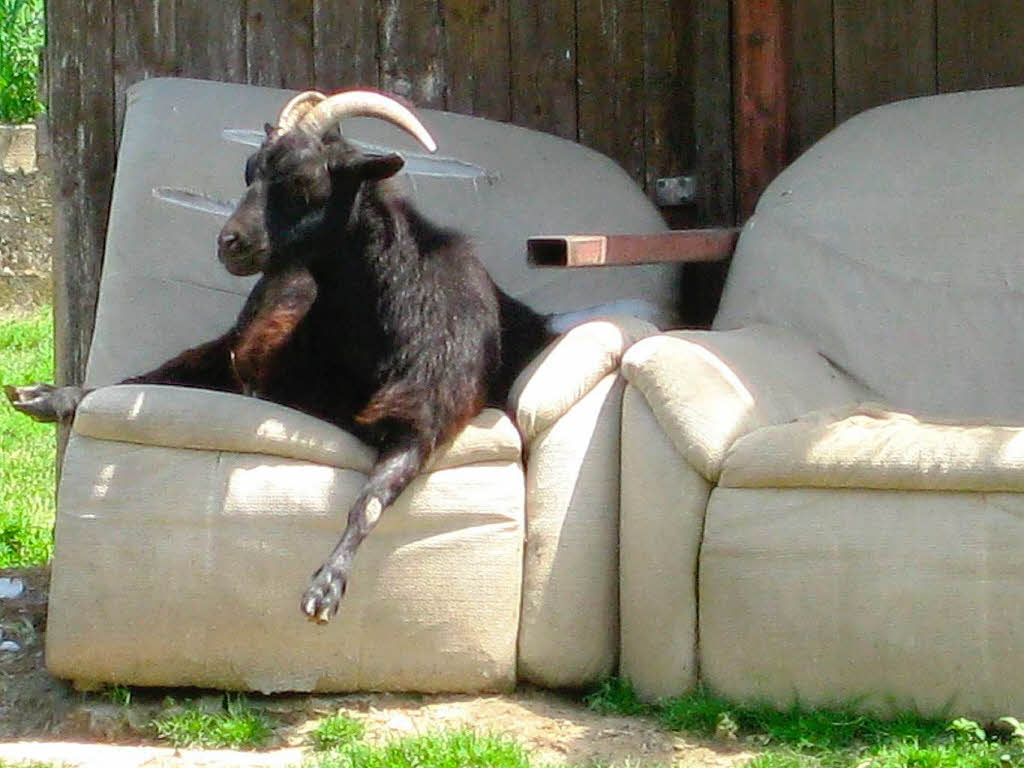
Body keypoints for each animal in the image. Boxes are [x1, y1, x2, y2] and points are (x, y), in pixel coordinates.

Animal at [6, 91, 552, 626]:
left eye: (303, 179)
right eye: (250, 170)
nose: (229, 243)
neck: (392, 309)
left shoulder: (422, 419)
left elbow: (369, 503)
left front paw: (326, 587)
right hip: (233, 341)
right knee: (149, 378)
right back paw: (43, 397)